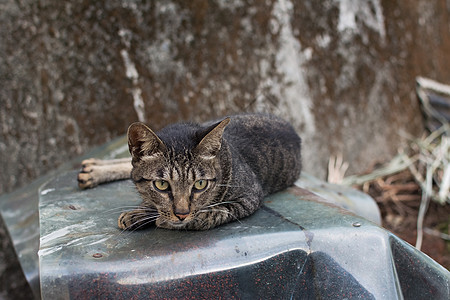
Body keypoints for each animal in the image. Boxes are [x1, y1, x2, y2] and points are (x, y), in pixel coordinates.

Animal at [78, 114, 302, 230]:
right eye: (162, 184)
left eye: (200, 184)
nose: (181, 214)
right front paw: (141, 211)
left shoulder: (248, 198)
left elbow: (208, 215)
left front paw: (157, 218)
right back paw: (93, 169)